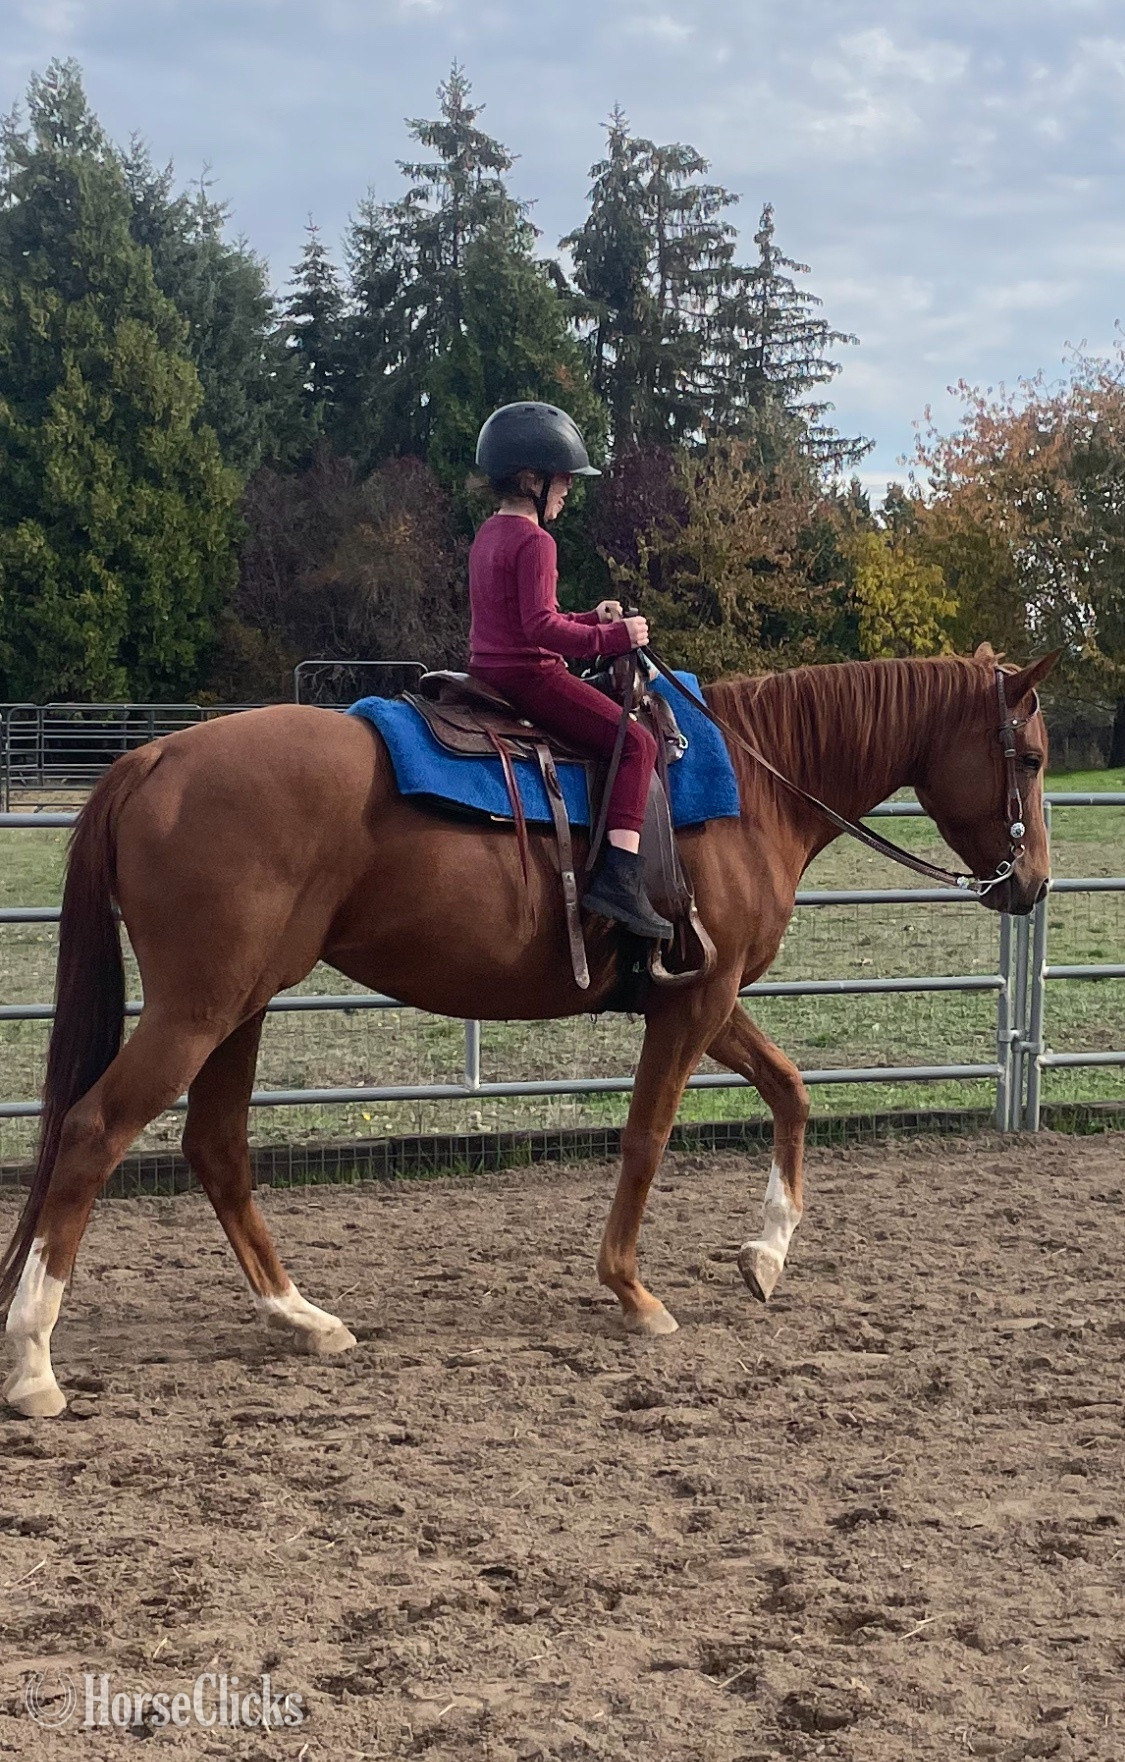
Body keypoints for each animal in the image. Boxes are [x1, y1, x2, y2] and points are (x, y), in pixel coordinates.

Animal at [0, 644, 1056, 1418]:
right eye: (1034, 758)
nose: (1034, 884)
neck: (754, 789)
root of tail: (156, 756)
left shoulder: (700, 997)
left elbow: (790, 1091)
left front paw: (764, 1256)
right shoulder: (695, 1001)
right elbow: (646, 1138)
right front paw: (632, 1292)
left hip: (240, 1008)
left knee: (216, 1148)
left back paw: (300, 1317)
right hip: (199, 1009)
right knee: (94, 1132)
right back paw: (34, 1361)